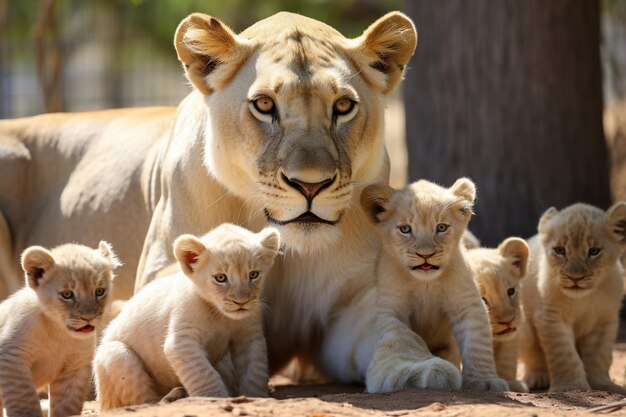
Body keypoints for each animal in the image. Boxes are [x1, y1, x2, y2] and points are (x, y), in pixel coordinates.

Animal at [1, 9, 428, 386]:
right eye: (264, 105)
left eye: (343, 106)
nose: (310, 185)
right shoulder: (161, 269)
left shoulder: (354, 298)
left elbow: (393, 328)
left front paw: (418, 367)